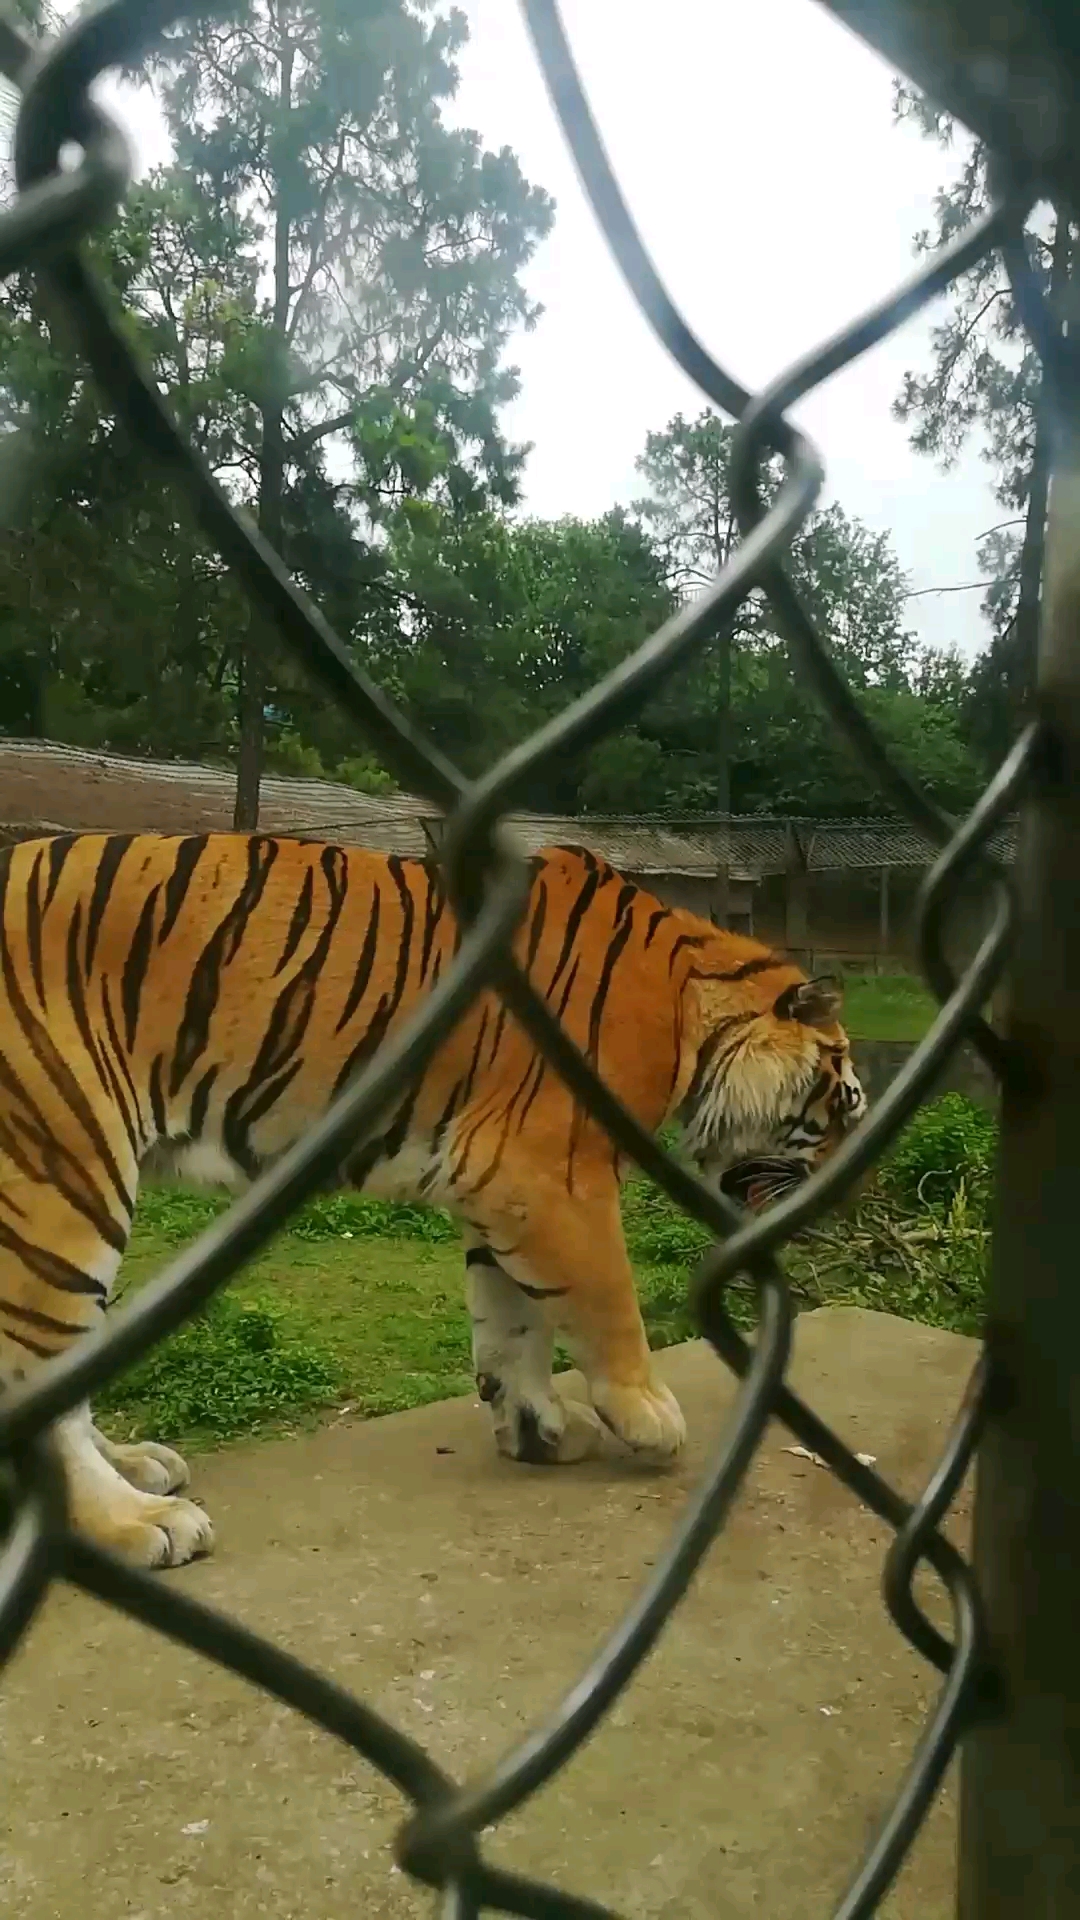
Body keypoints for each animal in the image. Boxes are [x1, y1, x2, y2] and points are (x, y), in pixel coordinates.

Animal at [0, 832, 866, 1569]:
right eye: (842, 1109)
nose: (848, 1196)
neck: (694, 1007)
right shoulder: (553, 1175)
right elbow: (606, 1301)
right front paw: (646, 1414)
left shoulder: (499, 1185)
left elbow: (512, 1323)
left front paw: (538, 1429)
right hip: (64, 1170)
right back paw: (137, 1520)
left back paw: (140, 1466)